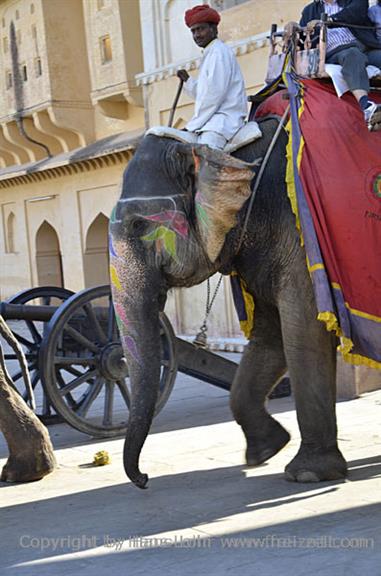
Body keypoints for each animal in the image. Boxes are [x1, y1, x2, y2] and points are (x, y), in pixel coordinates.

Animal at [108, 118, 346, 490]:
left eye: (138, 224)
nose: (145, 479)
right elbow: (271, 336)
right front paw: (265, 450)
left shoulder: (299, 234)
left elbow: (305, 328)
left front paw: (308, 474)